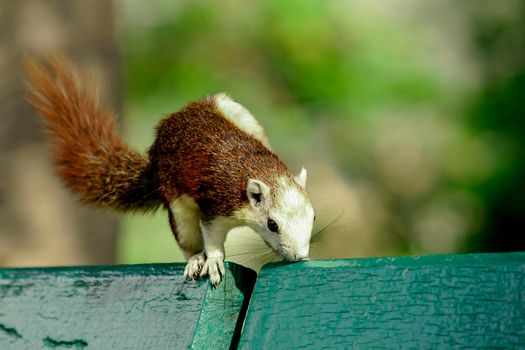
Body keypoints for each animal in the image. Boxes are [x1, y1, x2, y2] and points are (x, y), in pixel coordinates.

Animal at [26, 57, 314, 286]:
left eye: (312, 217)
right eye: (272, 224)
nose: (300, 256)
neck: (256, 168)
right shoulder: (215, 205)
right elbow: (212, 238)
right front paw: (213, 261)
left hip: (234, 109)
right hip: (177, 206)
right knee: (187, 240)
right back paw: (196, 259)